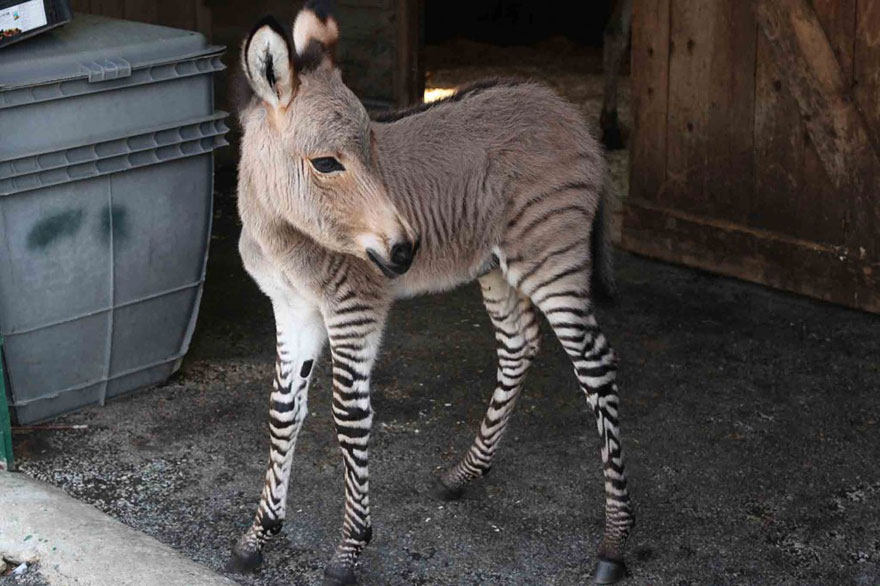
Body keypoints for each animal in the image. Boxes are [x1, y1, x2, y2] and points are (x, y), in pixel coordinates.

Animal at [230, 2, 634, 584]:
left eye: (373, 147)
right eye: (326, 163)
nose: (406, 251)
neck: (283, 233)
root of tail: (562, 106)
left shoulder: (355, 309)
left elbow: (350, 418)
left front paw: (349, 549)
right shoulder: (292, 309)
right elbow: (284, 411)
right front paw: (259, 535)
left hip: (550, 258)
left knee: (596, 363)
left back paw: (615, 541)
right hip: (494, 266)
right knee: (519, 345)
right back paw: (465, 474)